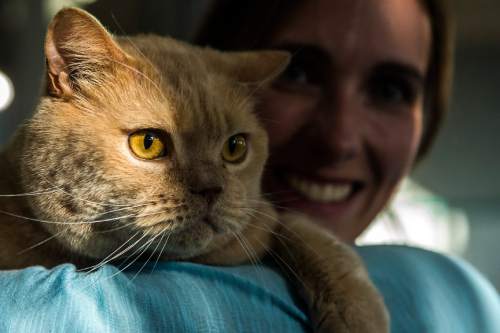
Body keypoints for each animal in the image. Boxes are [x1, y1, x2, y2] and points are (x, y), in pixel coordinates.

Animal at [0, 7, 386, 332]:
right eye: (148, 143)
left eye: (235, 148)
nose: (211, 189)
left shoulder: (262, 218)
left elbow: (307, 233)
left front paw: (357, 314)